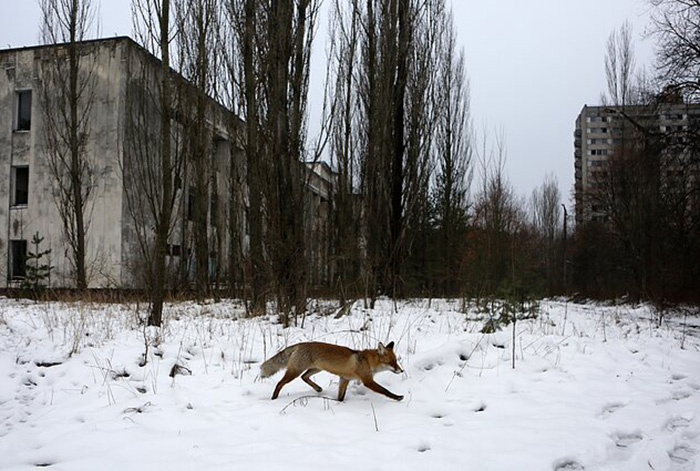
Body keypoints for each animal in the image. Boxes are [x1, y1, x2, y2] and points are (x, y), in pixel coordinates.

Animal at [262, 342, 404, 404]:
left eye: (396, 361)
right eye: (392, 362)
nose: (401, 370)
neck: (368, 361)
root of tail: (299, 344)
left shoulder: (344, 379)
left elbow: (341, 397)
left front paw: (338, 403)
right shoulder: (367, 381)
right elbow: (385, 390)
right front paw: (397, 397)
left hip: (315, 369)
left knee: (304, 377)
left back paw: (318, 389)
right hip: (295, 372)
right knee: (280, 384)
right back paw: (273, 398)